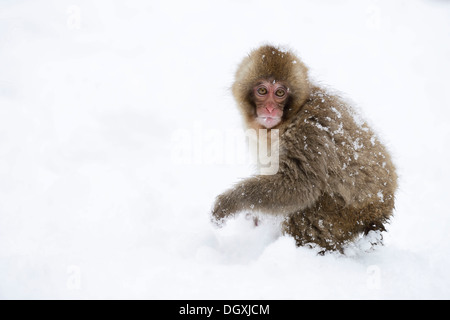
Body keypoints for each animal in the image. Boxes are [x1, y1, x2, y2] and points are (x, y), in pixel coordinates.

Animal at [212, 44, 398, 252]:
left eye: (279, 93)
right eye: (262, 90)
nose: (270, 109)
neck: (290, 117)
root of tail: (381, 209)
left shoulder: (307, 134)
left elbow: (300, 186)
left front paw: (230, 202)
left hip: (347, 215)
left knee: (306, 213)